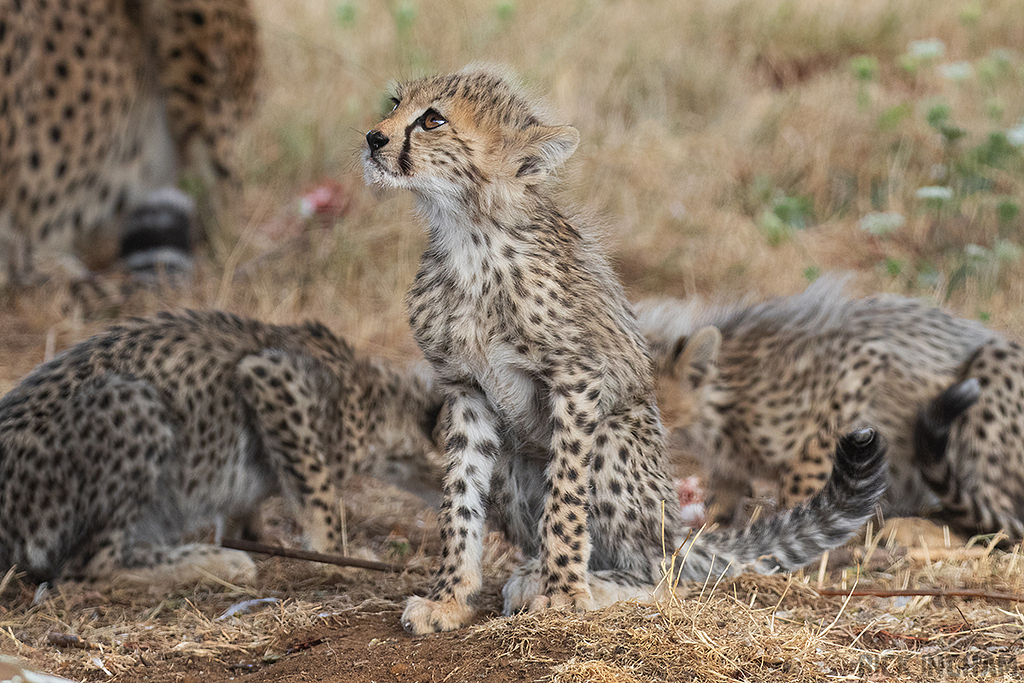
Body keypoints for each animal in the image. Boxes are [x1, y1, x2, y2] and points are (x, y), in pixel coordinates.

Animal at [0, 310, 444, 585]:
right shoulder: (269, 376)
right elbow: (317, 489)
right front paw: (337, 556)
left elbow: (244, 506)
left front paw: (255, 536)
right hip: (132, 398)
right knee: (86, 568)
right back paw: (215, 562)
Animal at [362, 66, 888, 634]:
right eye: (394, 103)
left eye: (433, 120)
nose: (373, 138)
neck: (469, 232)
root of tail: (674, 534)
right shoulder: (465, 388)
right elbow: (459, 499)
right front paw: (450, 599)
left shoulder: (576, 378)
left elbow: (566, 496)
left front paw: (564, 595)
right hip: (513, 456)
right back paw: (533, 572)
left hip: (619, 444)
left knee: (660, 573)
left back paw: (592, 583)